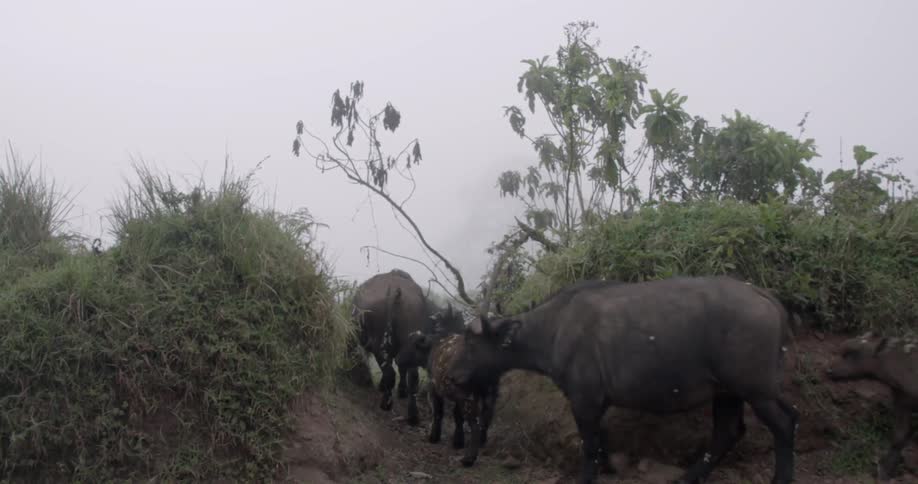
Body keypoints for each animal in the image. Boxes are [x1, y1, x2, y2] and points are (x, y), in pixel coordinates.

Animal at [351, 269, 462, 425]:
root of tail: (395, 291)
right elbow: (403, 369)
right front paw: (400, 390)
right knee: (412, 376)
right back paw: (413, 416)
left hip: (378, 343)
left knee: (391, 372)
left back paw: (387, 403)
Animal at [447, 276, 798, 484]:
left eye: (471, 343)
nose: (453, 376)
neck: (555, 327)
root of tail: (764, 295)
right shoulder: (597, 402)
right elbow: (601, 440)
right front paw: (607, 468)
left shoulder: (584, 399)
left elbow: (589, 444)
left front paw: (587, 477)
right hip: (730, 391)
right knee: (731, 430)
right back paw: (688, 477)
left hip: (755, 389)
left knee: (783, 424)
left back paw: (780, 478)